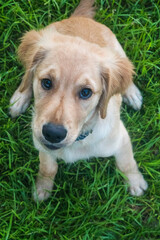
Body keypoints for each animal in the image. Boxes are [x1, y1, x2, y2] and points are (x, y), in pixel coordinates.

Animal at [9, 0, 148, 201]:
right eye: (46, 82)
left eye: (85, 92)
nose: (53, 133)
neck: (81, 137)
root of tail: (80, 18)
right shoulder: (41, 144)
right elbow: (48, 167)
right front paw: (42, 188)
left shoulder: (121, 138)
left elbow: (127, 162)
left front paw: (135, 182)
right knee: (26, 77)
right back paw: (19, 99)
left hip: (118, 50)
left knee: (128, 72)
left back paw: (132, 93)